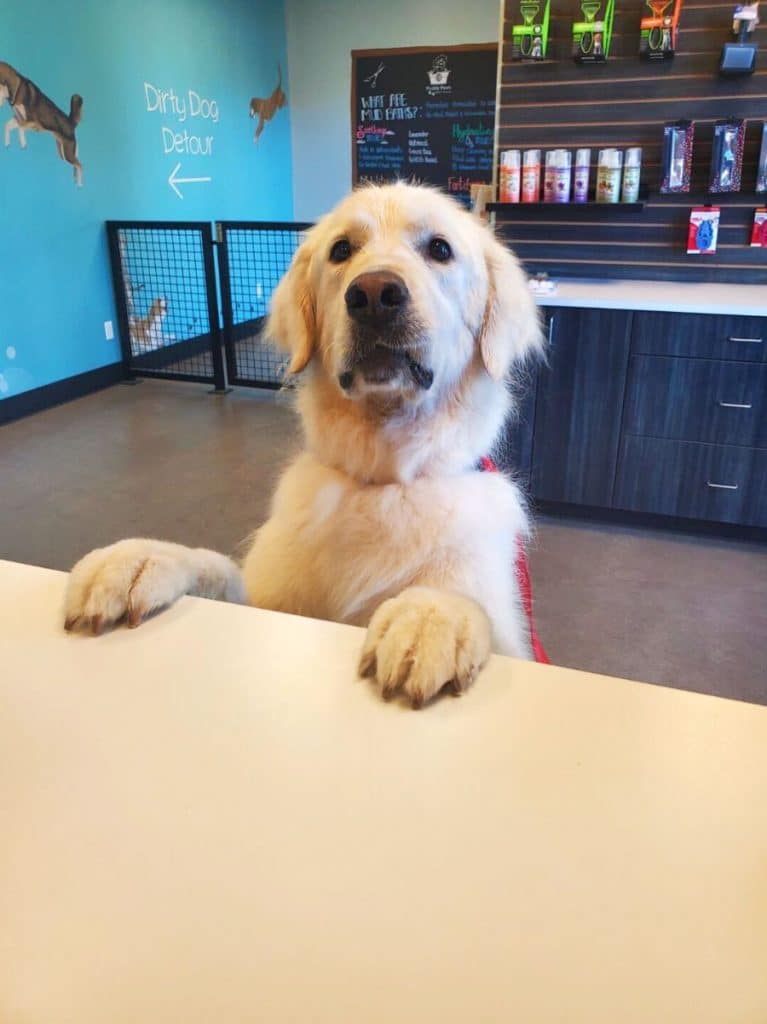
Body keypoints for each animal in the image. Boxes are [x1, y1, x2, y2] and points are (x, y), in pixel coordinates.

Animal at [66, 184, 544, 708]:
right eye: (342, 250)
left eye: (439, 249)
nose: (374, 295)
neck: (382, 481)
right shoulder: (267, 599)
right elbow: (218, 569)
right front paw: (141, 560)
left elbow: (471, 603)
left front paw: (433, 615)